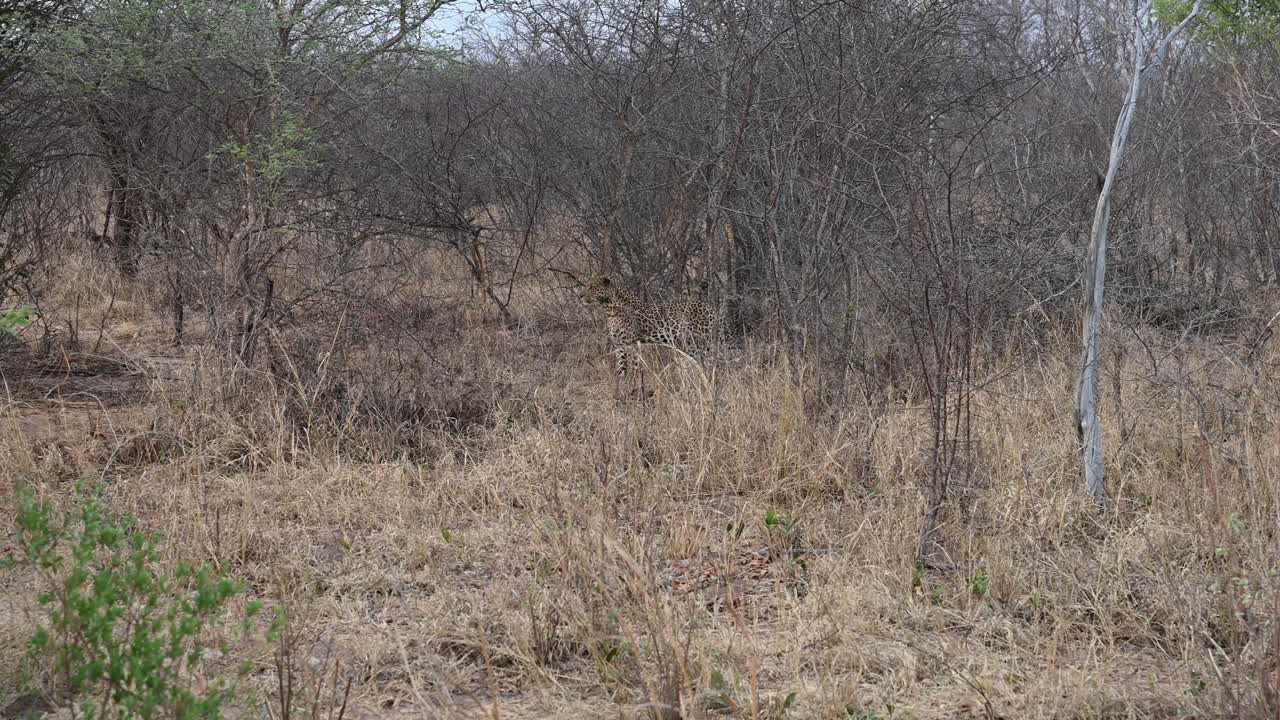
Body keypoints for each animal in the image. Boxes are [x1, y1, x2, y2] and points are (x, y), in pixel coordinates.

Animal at [579, 274, 725, 379]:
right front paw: (622, 384)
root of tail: (712, 307)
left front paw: (634, 383)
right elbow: (621, 367)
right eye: (587, 285)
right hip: (692, 345)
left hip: (705, 342)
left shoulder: (631, 343)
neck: (609, 308)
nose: (580, 296)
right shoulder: (619, 344)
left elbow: (634, 365)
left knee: (714, 361)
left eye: (592, 287)